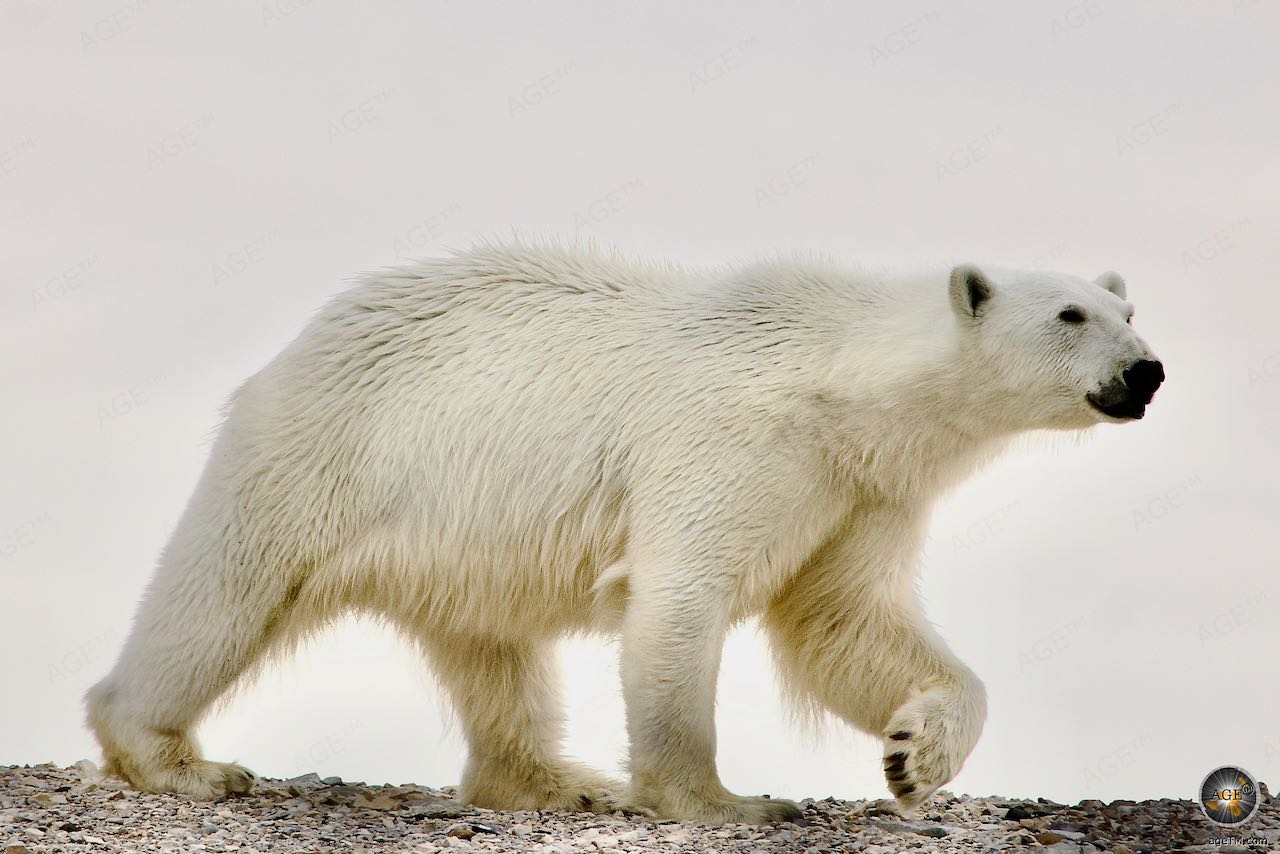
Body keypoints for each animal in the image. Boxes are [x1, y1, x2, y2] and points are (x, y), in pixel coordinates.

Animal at [85, 240, 1167, 819]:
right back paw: (178, 757)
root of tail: (306, 338)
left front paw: (913, 752)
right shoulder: (731, 444)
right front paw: (724, 798)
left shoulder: (858, 489)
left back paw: (558, 781)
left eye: (1126, 309)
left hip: (459, 532)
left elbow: (844, 623)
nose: (1145, 370)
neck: (840, 380)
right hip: (327, 452)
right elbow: (684, 593)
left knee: (491, 648)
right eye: (1070, 314)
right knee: (226, 591)